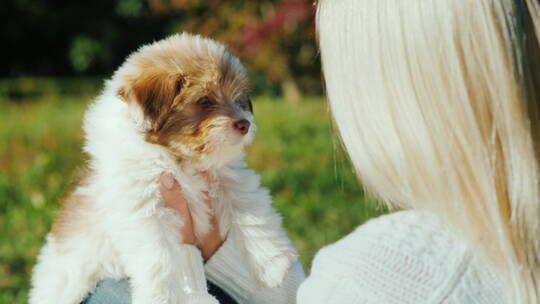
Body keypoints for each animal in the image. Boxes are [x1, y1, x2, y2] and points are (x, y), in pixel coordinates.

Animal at [29, 33, 298, 304]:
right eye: (204, 100)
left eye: (238, 100)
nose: (244, 124)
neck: (177, 157)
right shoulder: (147, 213)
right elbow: (161, 260)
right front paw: (163, 296)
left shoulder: (231, 178)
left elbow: (252, 214)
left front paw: (273, 264)